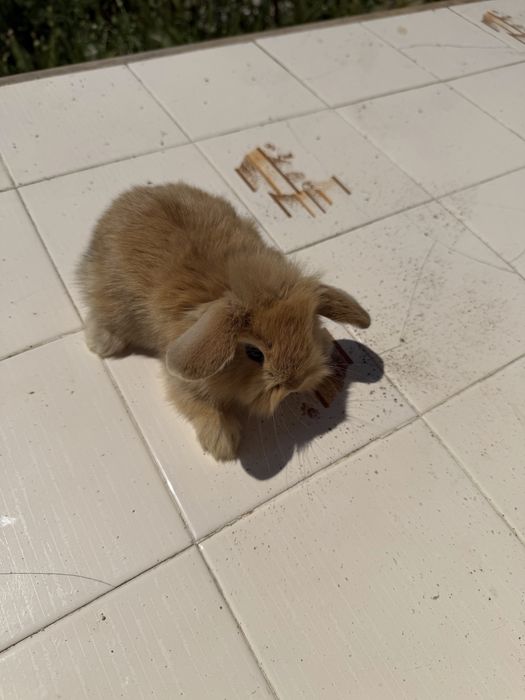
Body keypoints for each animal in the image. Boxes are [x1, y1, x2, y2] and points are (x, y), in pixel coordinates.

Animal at [77, 182, 370, 461]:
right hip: (113, 302)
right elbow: (201, 405)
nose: (295, 384)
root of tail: (119, 204)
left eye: (309, 331)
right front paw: (222, 444)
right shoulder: (184, 383)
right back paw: (100, 343)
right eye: (254, 353)